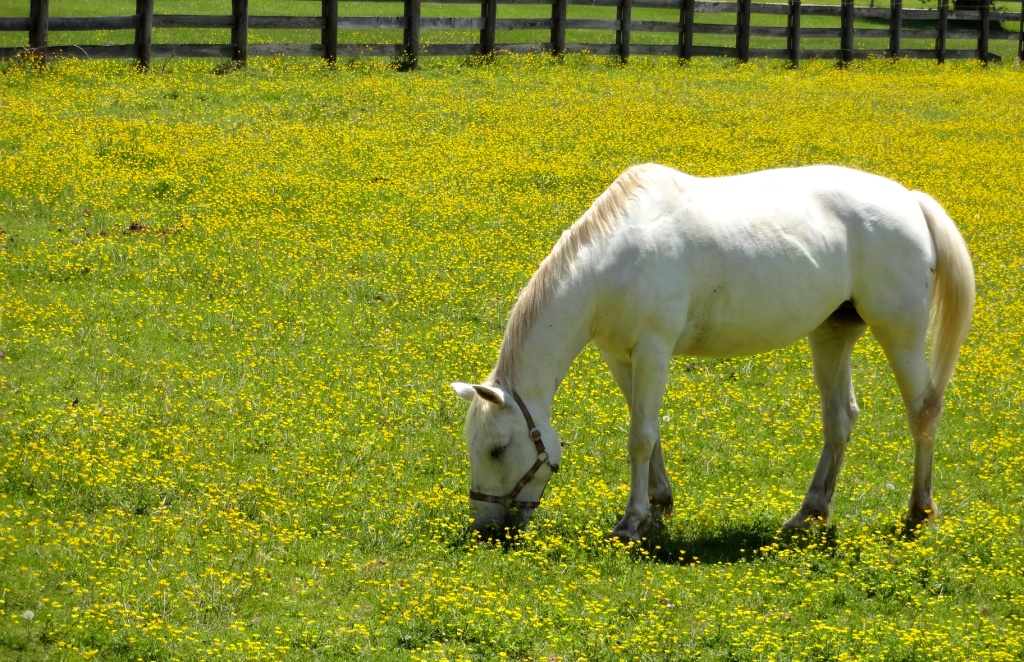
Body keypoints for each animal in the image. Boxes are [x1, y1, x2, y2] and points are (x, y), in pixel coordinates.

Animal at [451, 163, 974, 541]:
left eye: (497, 449)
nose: (486, 526)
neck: (612, 262)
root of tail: (910, 201)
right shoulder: (621, 357)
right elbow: (649, 431)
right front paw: (660, 503)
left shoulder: (654, 350)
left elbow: (640, 437)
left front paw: (631, 522)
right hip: (831, 333)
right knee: (840, 419)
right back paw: (809, 512)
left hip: (899, 332)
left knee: (923, 412)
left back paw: (918, 511)